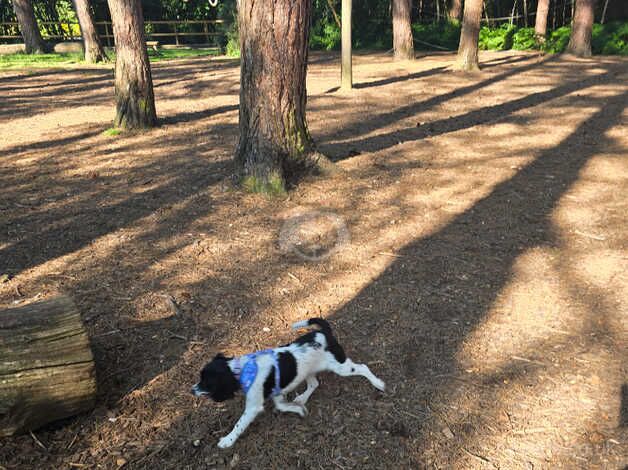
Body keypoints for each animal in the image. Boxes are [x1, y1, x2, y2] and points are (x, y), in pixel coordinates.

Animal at [191, 320, 386, 448]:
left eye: (206, 383)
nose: (192, 390)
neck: (242, 369)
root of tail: (324, 333)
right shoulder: (277, 393)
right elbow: (281, 405)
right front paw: (297, 409)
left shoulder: (253, 407)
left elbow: (239, 425)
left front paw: (227, 440)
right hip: (307, 371)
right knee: (314, 384)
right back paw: (301, 399)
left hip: (341, 366)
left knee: (362, 367)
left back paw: (378, 383)